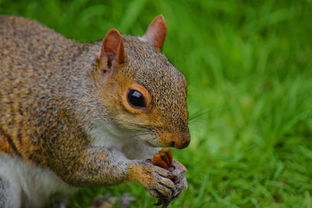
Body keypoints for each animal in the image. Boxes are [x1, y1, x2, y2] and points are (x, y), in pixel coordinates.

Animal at [0, 14, 190, 208]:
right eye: (135, 98)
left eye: (182, 81)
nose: (183, 141)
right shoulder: (63, 131)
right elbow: (80, 168)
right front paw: (145, 172)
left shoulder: (133, 140)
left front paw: (178, 171)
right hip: (3, 185)